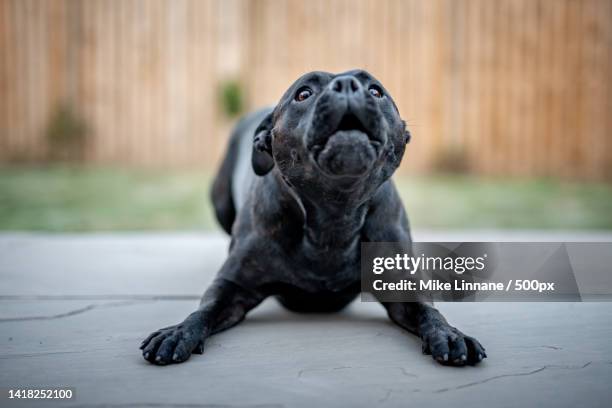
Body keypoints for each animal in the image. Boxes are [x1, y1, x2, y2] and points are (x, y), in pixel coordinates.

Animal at [141, 69, 486, 366]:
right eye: (303, 93)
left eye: (376, 90)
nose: (347, 84)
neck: (333, 214)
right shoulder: (232, 285)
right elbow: (206, 309)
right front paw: (178, 332)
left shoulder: (400, 283)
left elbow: (428, 311)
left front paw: (450, 334)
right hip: (221, 202)